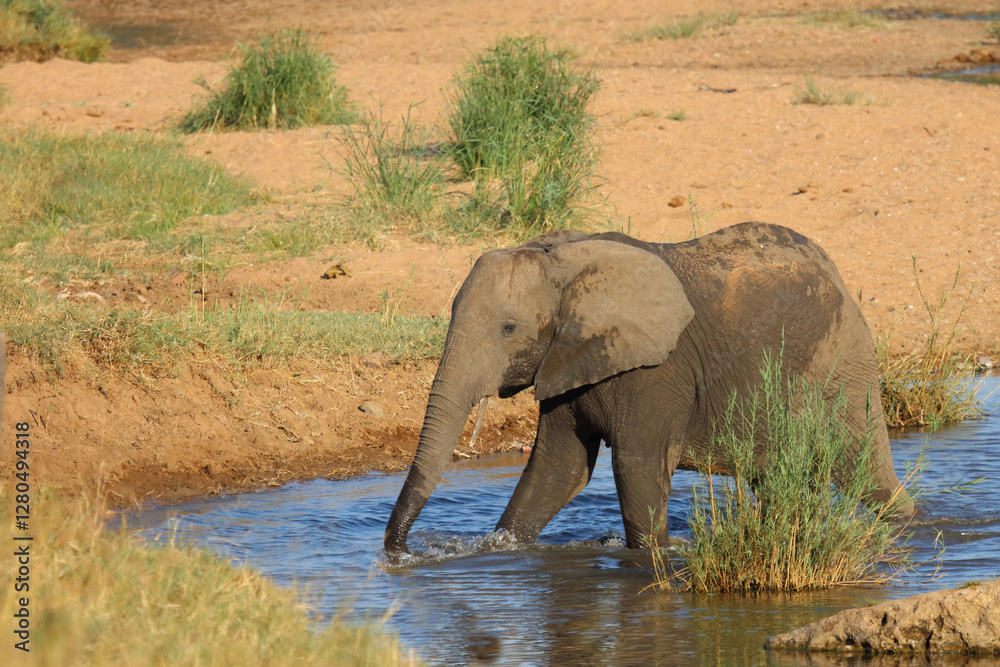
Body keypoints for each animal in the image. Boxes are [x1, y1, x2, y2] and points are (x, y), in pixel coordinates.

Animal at [384, 222, 914, 553]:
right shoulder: (568, 358)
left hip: (843, 365)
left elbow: (636, 466)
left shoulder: (659, 369)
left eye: (508, 329)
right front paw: (499, 548)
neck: (565, 263)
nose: (402, 552)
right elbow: (558, 468)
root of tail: (836, 273)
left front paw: (656, 555)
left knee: (864, 468)